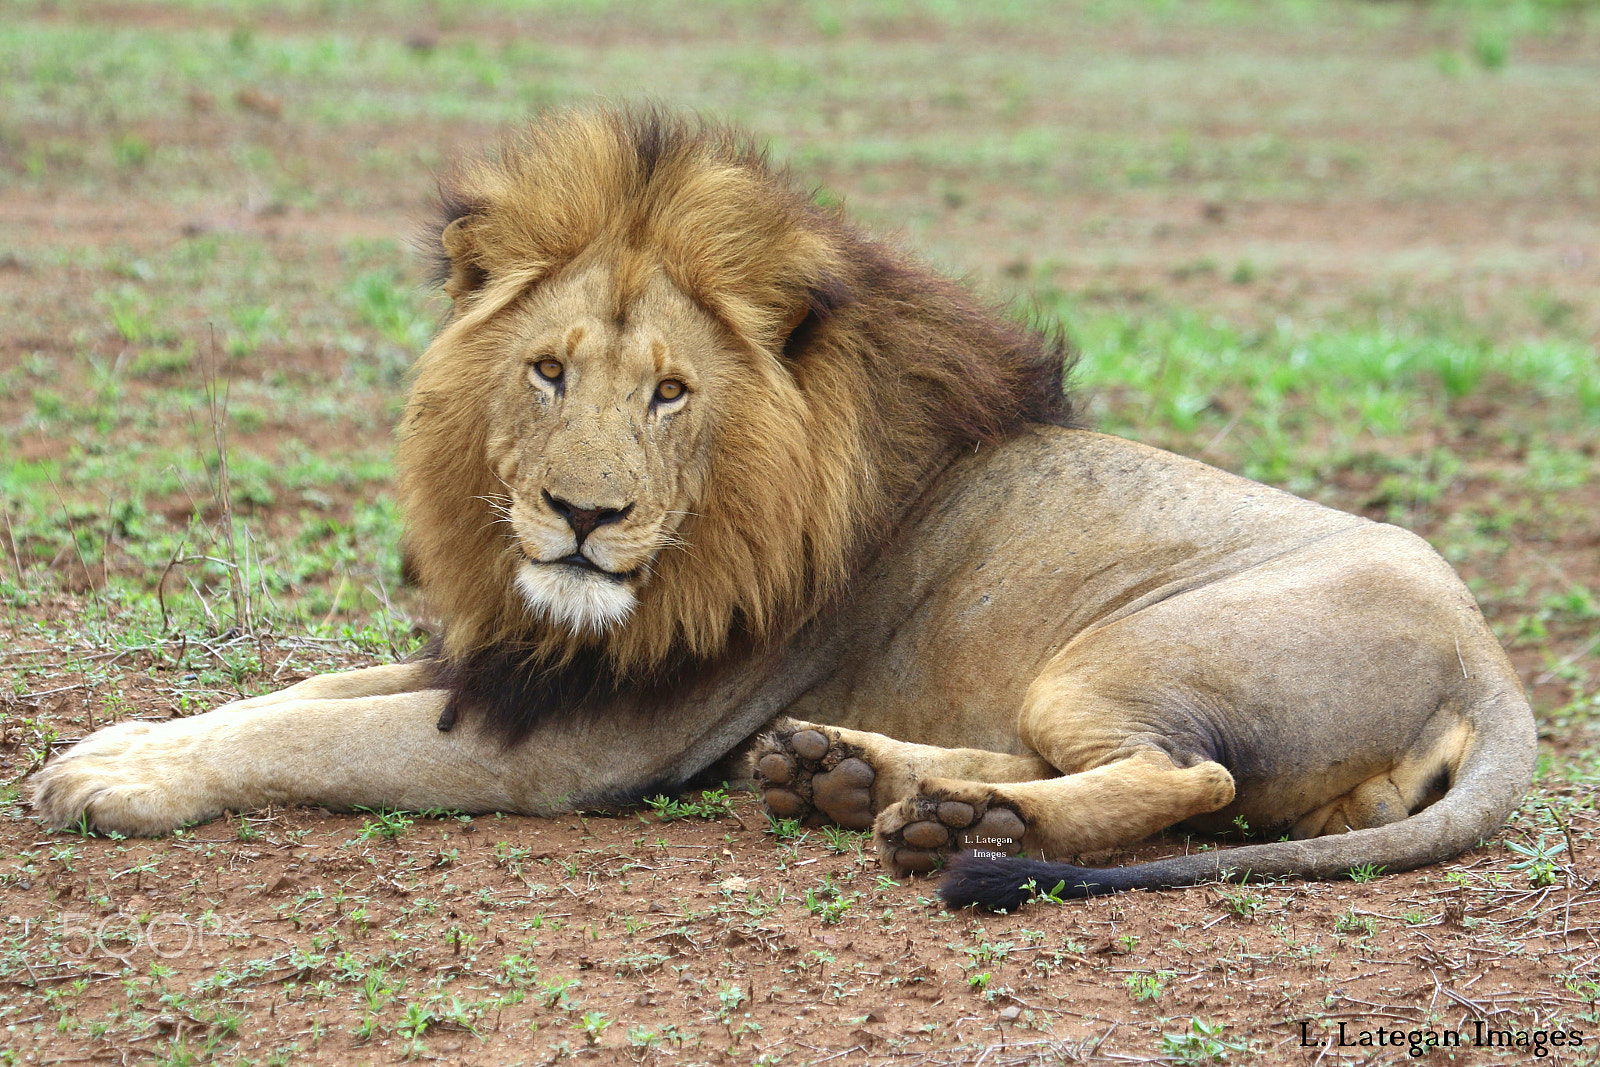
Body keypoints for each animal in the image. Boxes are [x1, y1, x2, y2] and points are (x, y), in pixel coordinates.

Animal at [31, 106, 1536, 908]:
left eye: (671, 393)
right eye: (548, 370)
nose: (581, 514)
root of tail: (1494, 662)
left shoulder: (576, 739)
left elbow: (319, 736)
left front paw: (116, 781)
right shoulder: (511, 659)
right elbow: (297, 695)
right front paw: (117, 741)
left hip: (1118, 648)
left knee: (1193, 777)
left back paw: (960, 829)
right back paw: (859, 778)